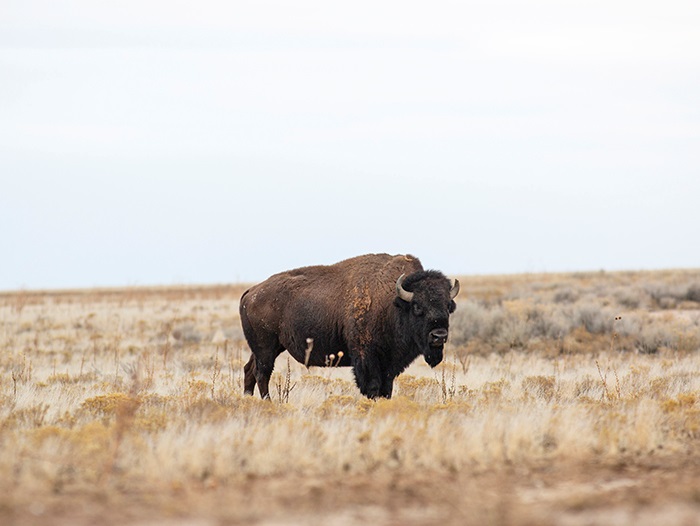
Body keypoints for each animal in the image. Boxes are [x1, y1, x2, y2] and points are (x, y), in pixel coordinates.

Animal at [239, 254, 460, 398]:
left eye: (448, 306)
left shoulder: (389, 364)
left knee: (249, 370)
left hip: (269, 348)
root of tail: (251, 292)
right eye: (417, 307)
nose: (439, 335)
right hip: (266, 348)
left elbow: (386, 389)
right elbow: (372, 387)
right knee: (262, 374)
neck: (392, 303)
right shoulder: (367, 358)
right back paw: (268, 402)